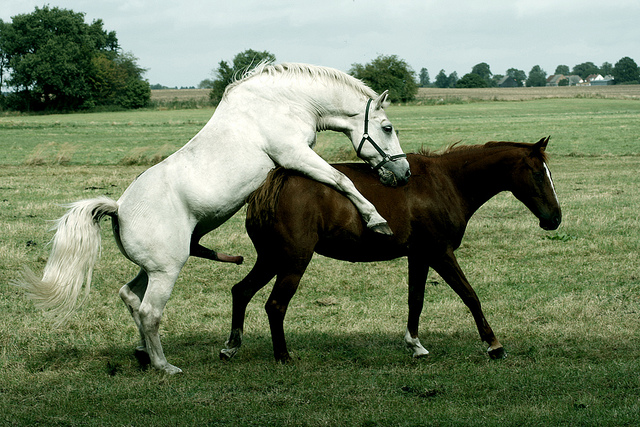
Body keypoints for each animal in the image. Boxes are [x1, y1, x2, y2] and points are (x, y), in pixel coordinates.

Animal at [15, 62, 410, 374]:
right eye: (388, 127)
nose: (403, 174)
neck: (284, 102)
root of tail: (119, 208)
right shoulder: (295, 154)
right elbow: (342, 180)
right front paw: (376, 220)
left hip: (152, 268)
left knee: (130, 296)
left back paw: (143, 353)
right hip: (166, 271)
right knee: (149, 312)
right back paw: (164, 366)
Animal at [219, 138, 560, 364]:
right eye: (538, 173)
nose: (554, 219)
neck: (444, 182)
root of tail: (276, 180)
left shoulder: (419, 256)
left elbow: (416, 300)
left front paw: (415, 344)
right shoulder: (440, 253)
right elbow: (470, 295)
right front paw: (493, 344)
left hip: (271, 258)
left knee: (241, 291)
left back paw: (231, 346)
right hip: (292, 261)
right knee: (275, 305)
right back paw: (283, 355)